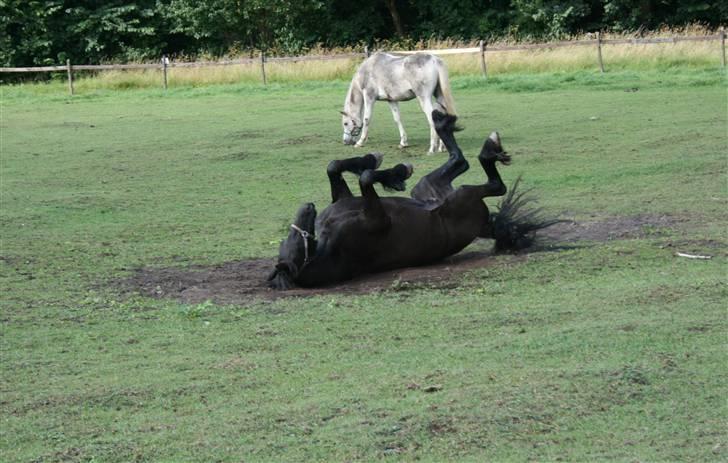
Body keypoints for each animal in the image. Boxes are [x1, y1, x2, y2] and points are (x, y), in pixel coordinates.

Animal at [270, 110, 556, 288]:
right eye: (293, 238)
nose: (307, 208)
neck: (325, 244)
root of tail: (487, 225)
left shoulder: (345, 199)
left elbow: (336, 167)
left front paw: (378, 163)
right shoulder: (378, 219)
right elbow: (365, 178)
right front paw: (394, 172)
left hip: (426, 188)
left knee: (460, 160)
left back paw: (443, 122)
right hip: (462, 197)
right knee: (494, 183)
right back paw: (487, 150)